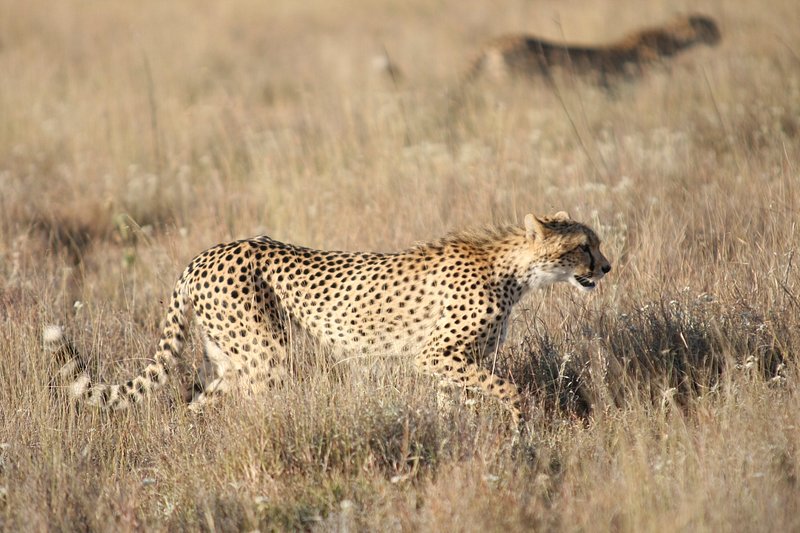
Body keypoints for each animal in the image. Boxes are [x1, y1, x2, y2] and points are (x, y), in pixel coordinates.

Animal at [47, 210, 612, 422]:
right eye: (584, 246)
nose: (607, 267)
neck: (514, 268)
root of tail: (201, 257)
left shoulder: (450, 363)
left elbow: (459, 402)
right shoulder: (435, 354)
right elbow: (507, 390)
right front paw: (521, 424)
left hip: (230, 358)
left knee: (197, 405)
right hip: (264, 356)